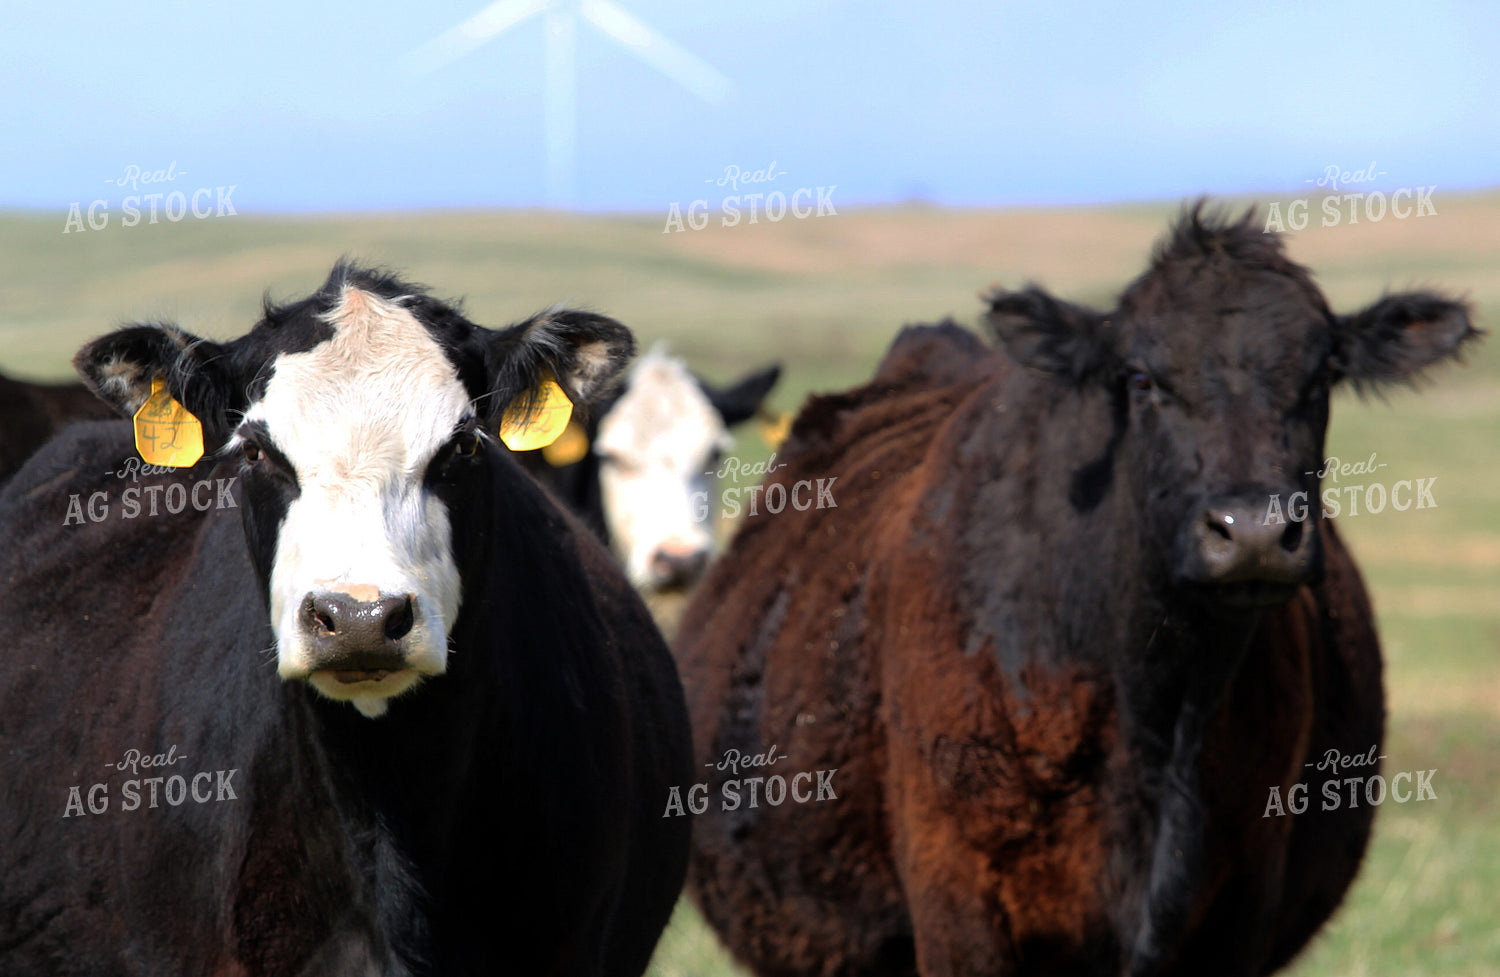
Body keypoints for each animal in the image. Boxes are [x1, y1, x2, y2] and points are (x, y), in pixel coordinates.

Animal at [674, 204, 1480, 977]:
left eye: (1321, 378)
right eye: (1140, 378)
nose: (1252, 530)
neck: (1162, 711)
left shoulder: (1244, 903)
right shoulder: (960, 902)